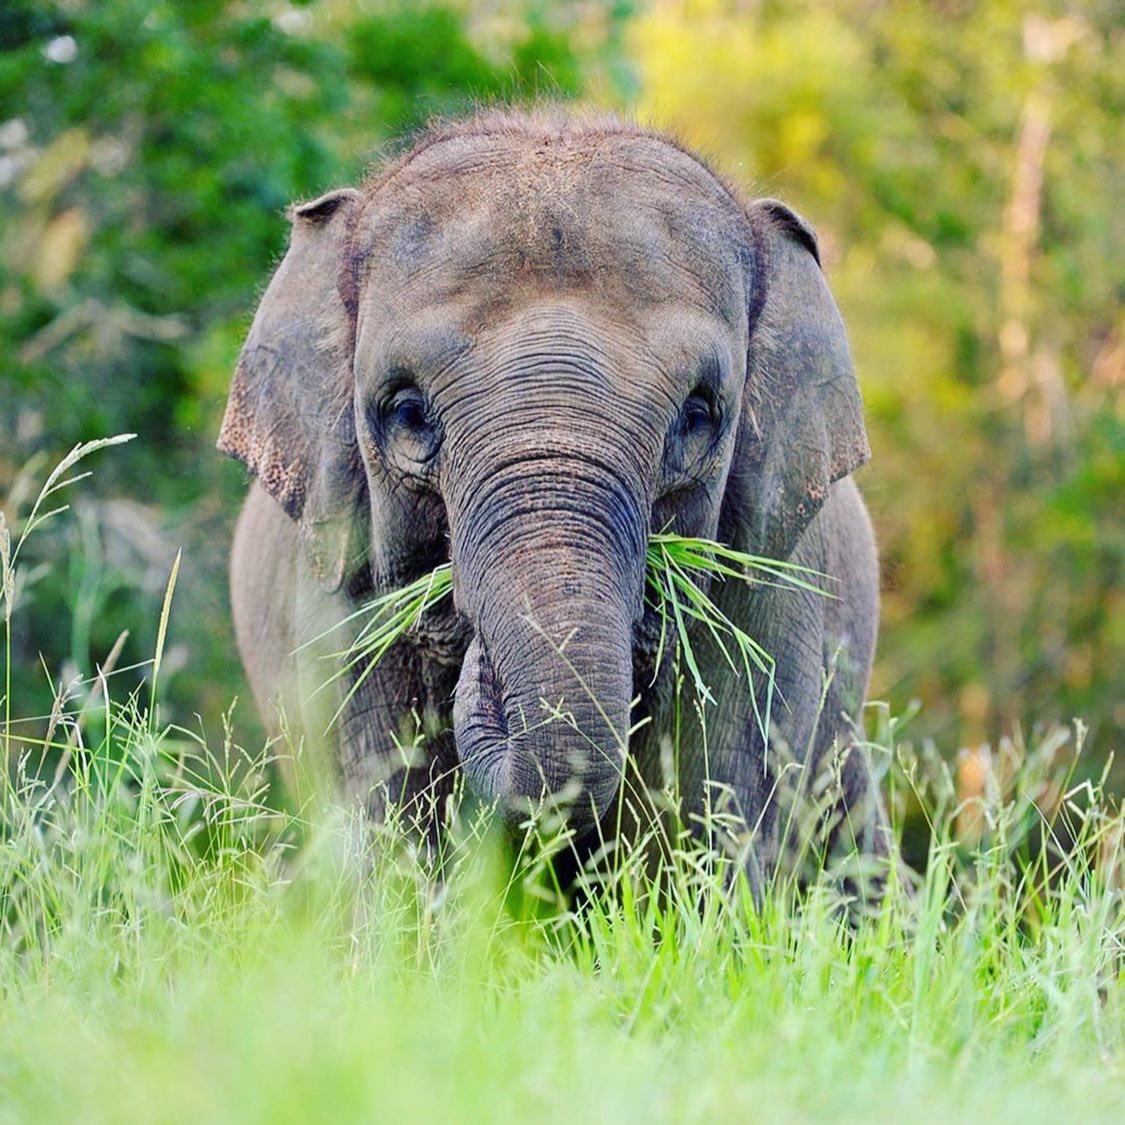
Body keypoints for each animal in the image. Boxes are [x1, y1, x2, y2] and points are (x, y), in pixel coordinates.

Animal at [219, 108, 887, 890]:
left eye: (697, 415)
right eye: (408, 412)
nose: (473, 650)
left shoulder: (765, 597)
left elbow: (708, 818)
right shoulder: (336, 598)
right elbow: (387, 825)